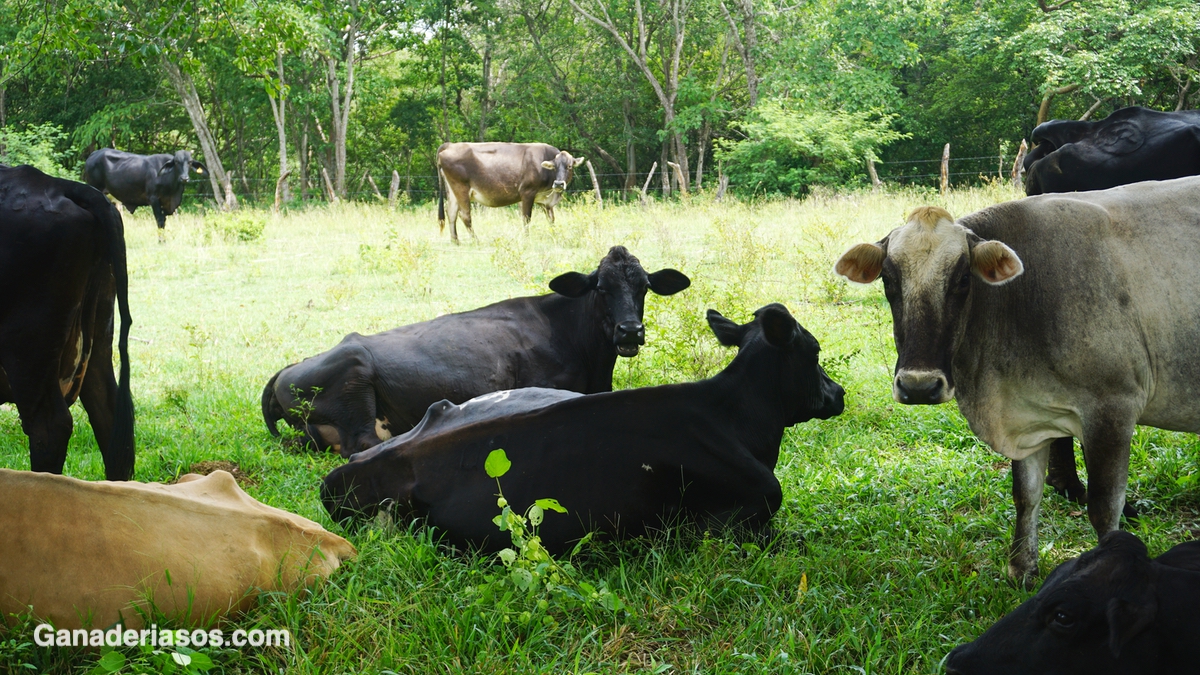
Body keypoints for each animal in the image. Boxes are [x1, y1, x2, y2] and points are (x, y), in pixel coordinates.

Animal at [840, 176, 1200, 581]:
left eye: (962, 279)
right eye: (888, 278)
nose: (919, 385)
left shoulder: (1113, 410)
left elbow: (1105, 510)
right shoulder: (1028, 418)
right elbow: (1026, 493)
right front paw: (1022, 567)